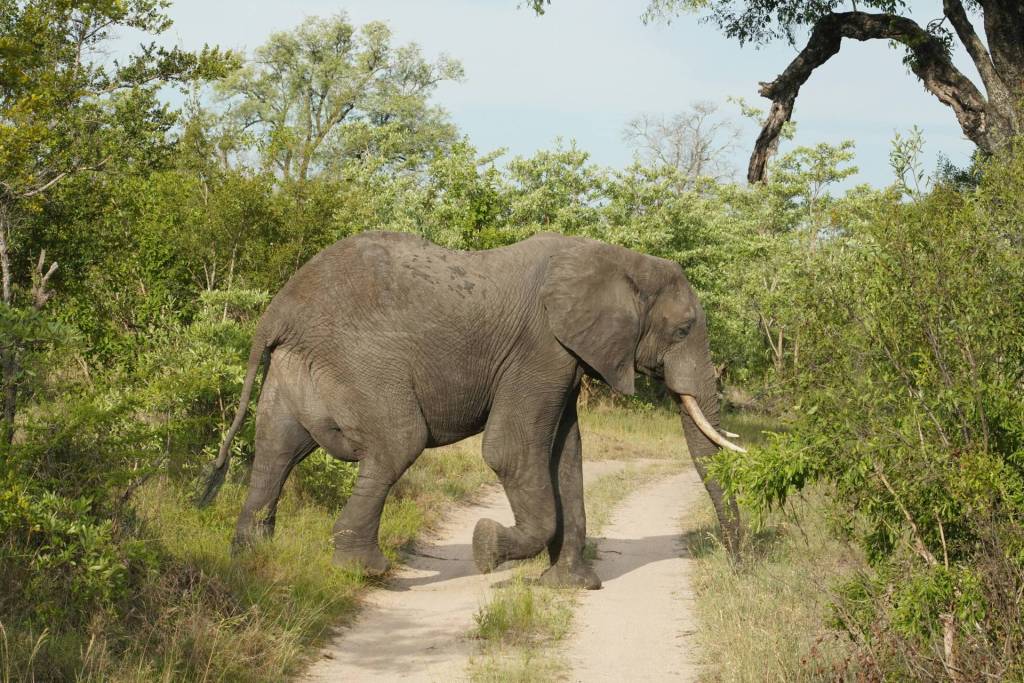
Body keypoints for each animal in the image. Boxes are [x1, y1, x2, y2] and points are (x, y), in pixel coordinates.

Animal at [199, 230, 745, 589]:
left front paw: (572, 586)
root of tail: (277, 312)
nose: (737, 561)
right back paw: (365, 570)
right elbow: (511, 452)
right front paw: (486, 549)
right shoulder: (540, 349)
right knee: (397, 442)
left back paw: (251, 556)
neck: (617, 258)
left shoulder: (565, 359)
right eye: (682, 330)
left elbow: (566, 457)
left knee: (276, 451)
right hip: (360, 362)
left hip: (294, 367)